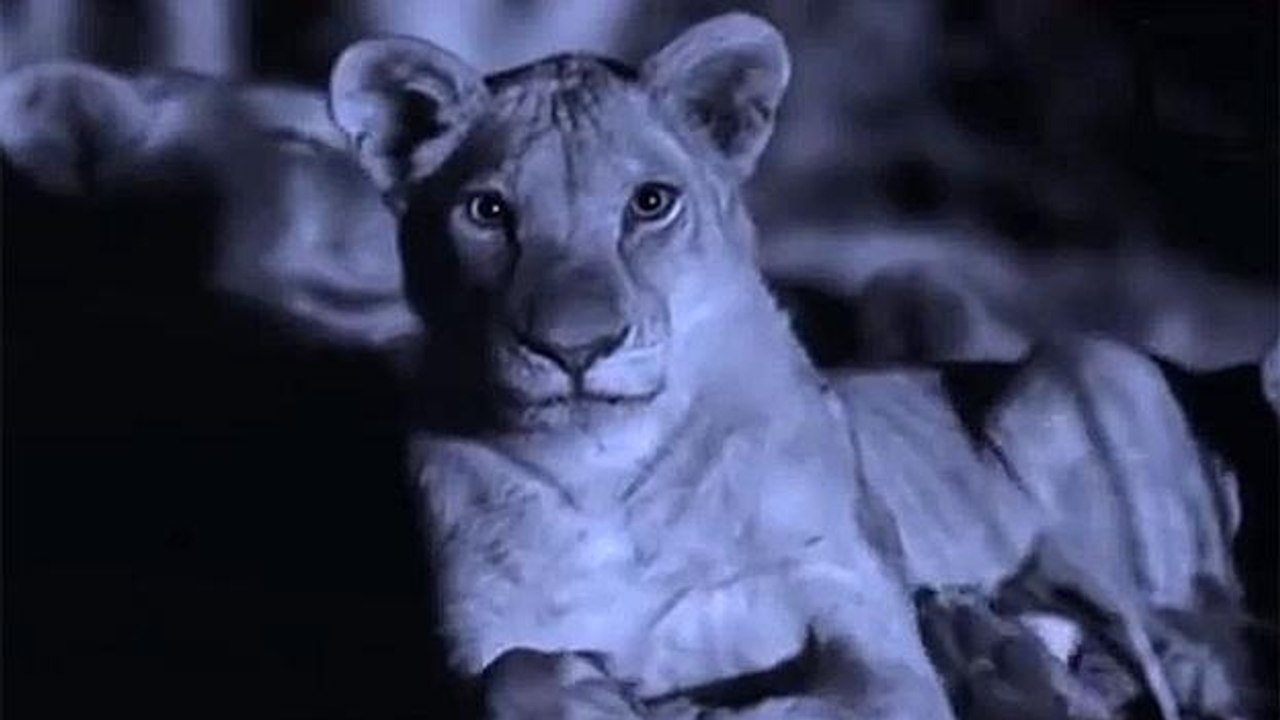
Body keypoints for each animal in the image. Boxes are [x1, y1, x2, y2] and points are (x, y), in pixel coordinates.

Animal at [325, 12, 1247, 719]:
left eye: (650, 204)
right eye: (487, 212)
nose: (575, 347)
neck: (606, 471)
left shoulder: (868, 634)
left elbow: (802, 704)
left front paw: (672, 706)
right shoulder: (478, 643)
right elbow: (512, 673)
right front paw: (588, 691)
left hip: (1077, 370)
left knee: (1199, 644)